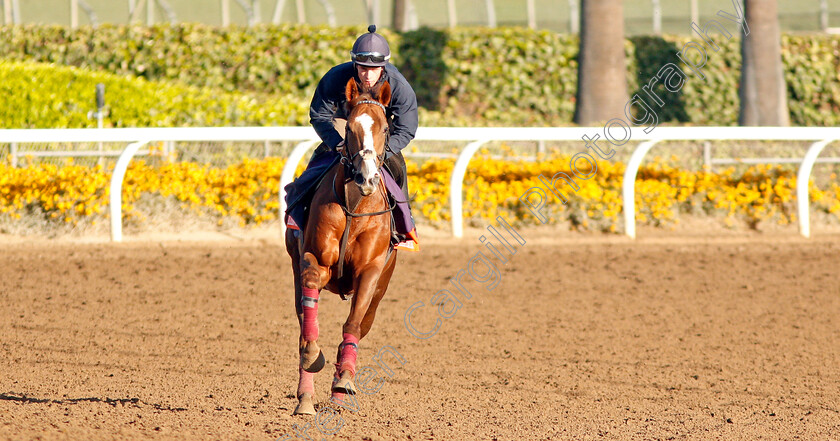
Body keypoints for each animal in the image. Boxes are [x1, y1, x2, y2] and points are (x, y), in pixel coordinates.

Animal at [284, 77, 398, 414]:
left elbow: (353, 324)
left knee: (361, 323)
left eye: (384, 127)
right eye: (349, 127)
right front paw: (312, 357)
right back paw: (305, 398)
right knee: (302, 321)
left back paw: (337, 394)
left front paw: (344, 381)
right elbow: (309, 329)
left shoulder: (371, 272)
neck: (355, 206)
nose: (366, 177)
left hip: (383, 286)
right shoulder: (315, 260)